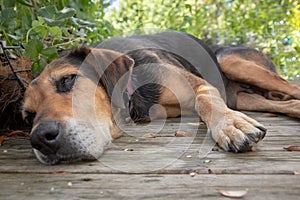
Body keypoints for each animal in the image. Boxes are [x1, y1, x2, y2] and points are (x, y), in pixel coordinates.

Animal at [21, 31, 300, 164]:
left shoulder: (202, 86)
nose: (41, 139)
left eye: (68, 79)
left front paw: (231, 125)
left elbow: (205, 101)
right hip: (242, 97)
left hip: (231, 61)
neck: (134, 92)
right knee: (289, 103)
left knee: (292, 91)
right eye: (28, 116)